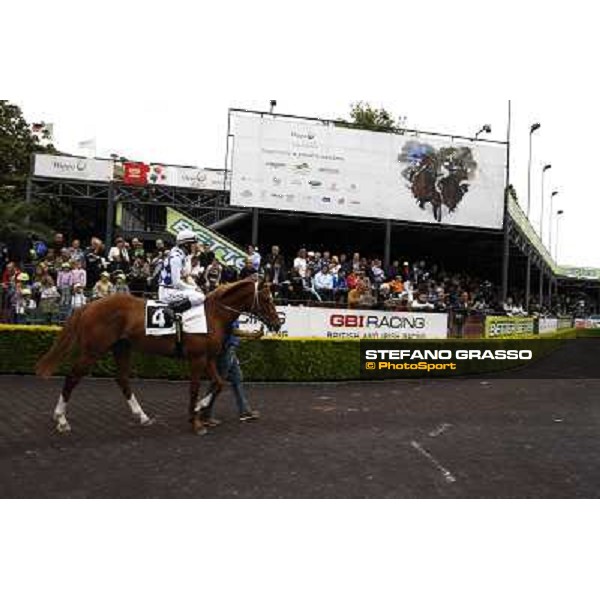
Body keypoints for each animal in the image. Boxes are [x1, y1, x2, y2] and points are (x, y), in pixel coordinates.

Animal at [37, 278, 282, 434]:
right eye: (267, 299)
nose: (278, 323)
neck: (213, 314)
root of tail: (87, 306)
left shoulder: (209, 358)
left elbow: (219, 383)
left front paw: (200, 409)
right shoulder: (197, 358)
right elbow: (195, 388)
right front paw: (196, 420)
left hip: (122, 347)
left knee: (122, 379)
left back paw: (142, 416)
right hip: (93, 350)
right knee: (72, 377)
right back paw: (61, 420)